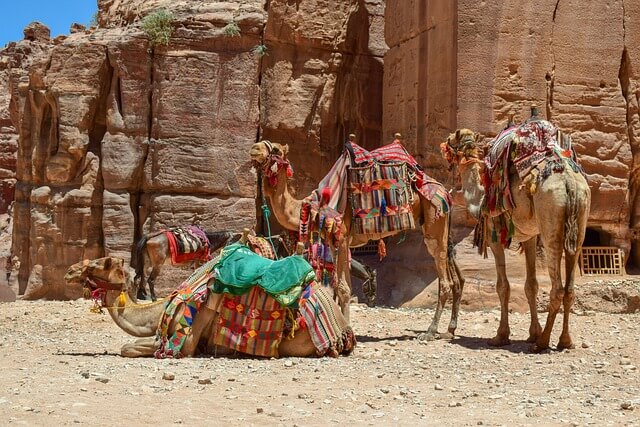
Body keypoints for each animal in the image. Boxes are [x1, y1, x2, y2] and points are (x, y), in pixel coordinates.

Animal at [249, 139, 464, 340]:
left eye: (276, 149)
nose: (254, 148)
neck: (314, 208)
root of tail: (445, 192)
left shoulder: (343, 238)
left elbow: (343, 288)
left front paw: (346, 330)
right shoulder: (335, 243)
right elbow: (339, 287)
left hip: (434, 223)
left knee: (445, 281)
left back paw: (430, 331)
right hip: (442, 229)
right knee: (456, 278)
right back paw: (450, 330)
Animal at [440, 120, 591, 351]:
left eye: (450, 141)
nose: (443, 146)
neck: (480, 198)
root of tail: (569, 183)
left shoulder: (494, 235)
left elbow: (503, 286)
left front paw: (501, 336)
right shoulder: (529, 237)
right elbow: (531, 285)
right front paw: (532, 332)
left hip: (551, 222)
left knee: (557, 287)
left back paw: (543, 342)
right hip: (580, 221)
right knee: (570, 287)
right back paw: (565, 341)